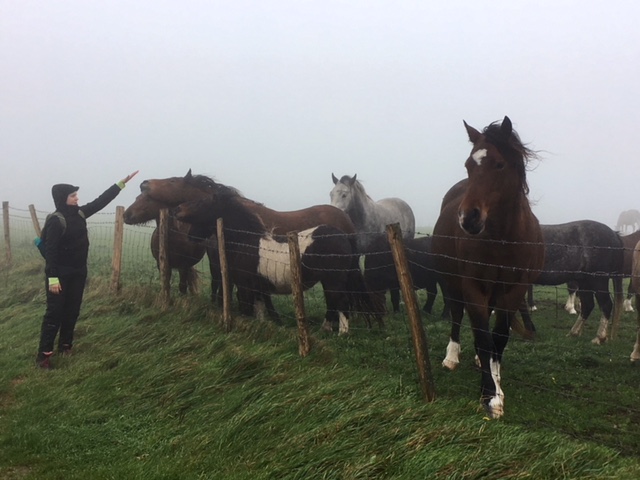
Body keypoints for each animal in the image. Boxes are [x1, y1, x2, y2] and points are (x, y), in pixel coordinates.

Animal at [170, 189, 382, 332]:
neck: (246, 241)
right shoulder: (257, 287)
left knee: (340, 302)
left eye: (202, 203)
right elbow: (260, 310)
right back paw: (326, 329)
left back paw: (341, 333)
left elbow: (248, 309)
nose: (177, 210)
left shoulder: (245, 286)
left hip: (333, 280)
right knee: (334, 302)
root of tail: (343, 235)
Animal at [430, 117, 544, 420]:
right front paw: (489, 395)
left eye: (499, 164)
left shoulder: (513, 290)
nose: (468, 218)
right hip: (452, 282)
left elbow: (498, 337)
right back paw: (452, 356)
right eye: (469, 165)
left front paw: (496, 382)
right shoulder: (472, 286)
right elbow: (482, 335)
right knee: (457, 316)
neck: (503, 239)